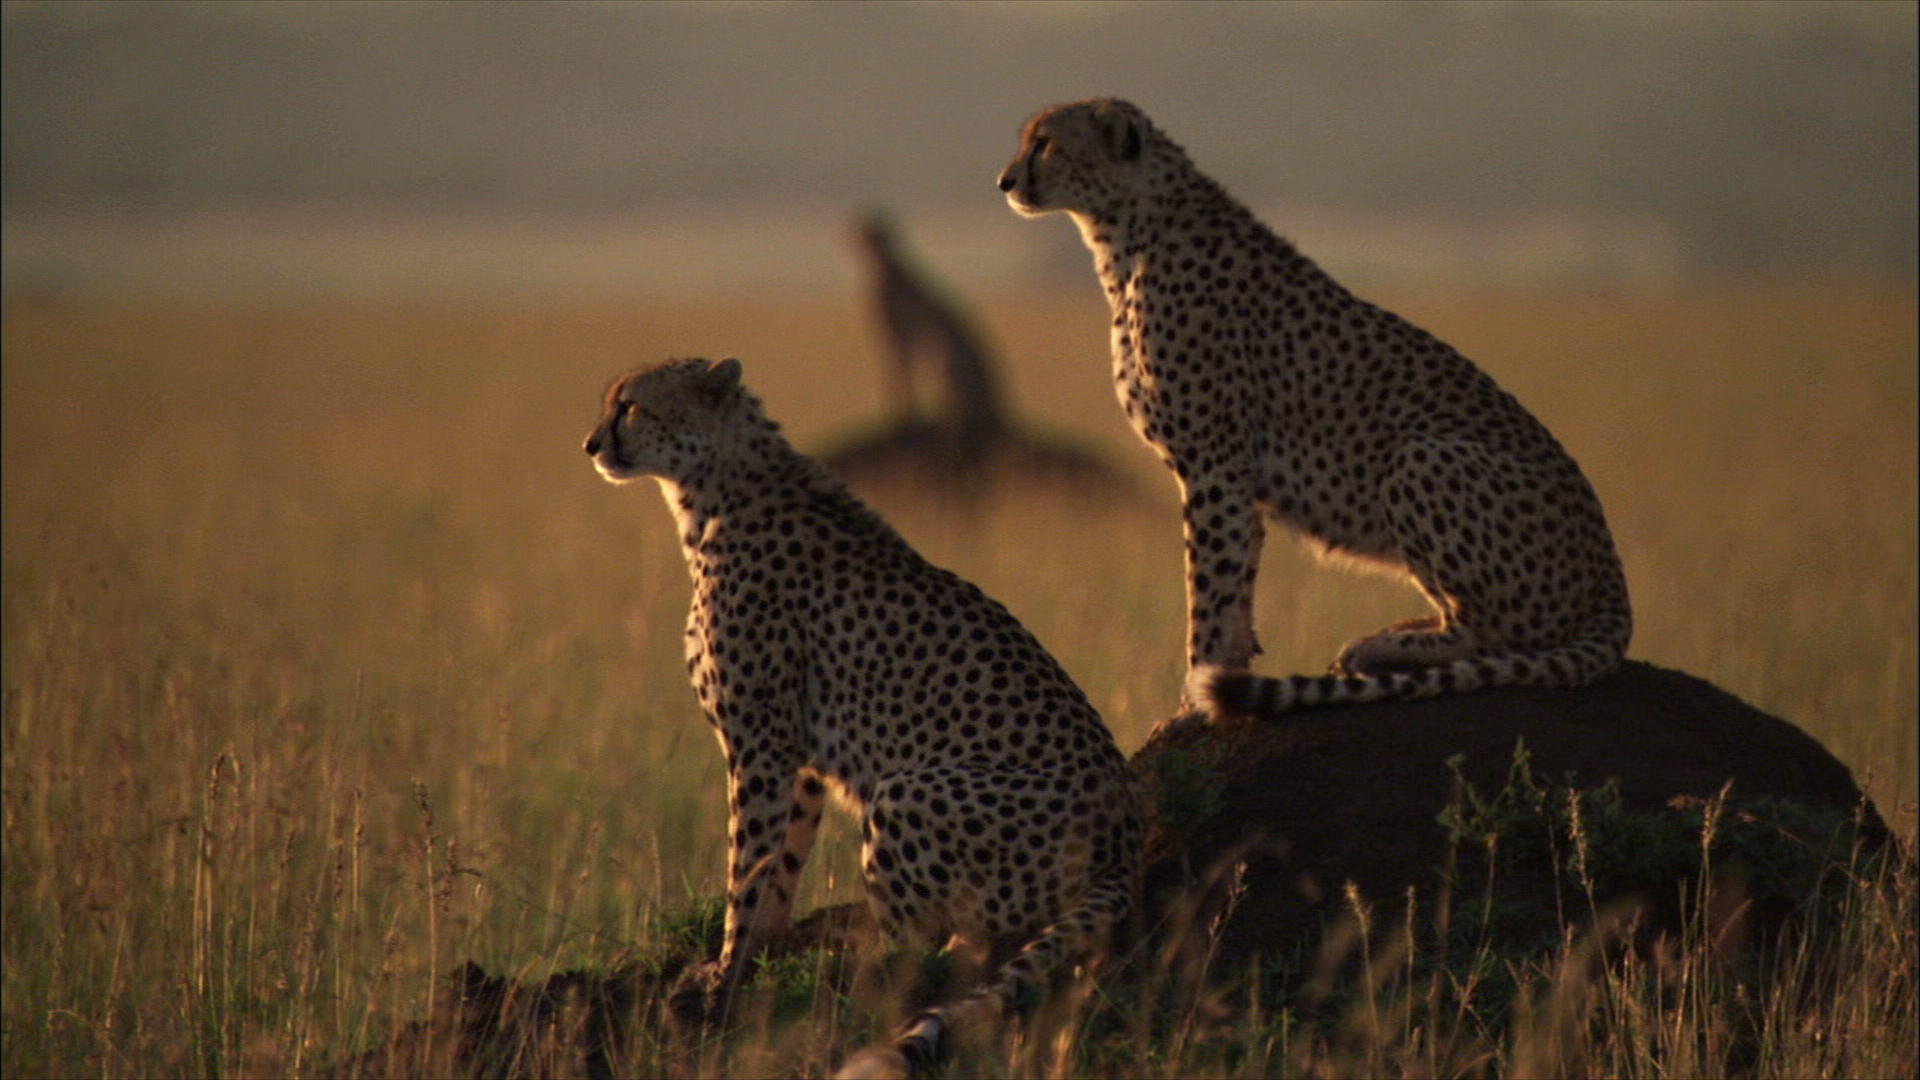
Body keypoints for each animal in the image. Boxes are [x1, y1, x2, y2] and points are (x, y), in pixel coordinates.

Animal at [568, 357, 1136, 1068]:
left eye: (633, 407)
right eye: (610, 404)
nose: (590, 445)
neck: (713, 491)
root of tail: (1125, 833)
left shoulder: (761, 744)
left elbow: (746, 864)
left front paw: (724, 973)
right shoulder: (799, 758)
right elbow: (779, 864)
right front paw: (757, 956)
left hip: (907, 790)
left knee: (946, 947)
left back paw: (877, 961)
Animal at [998, 98, 1628, 722]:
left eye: (1045, 143)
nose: (1005, 181)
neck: (1127, 233)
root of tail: (1612, 574)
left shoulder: (1212, 464)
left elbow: (1209, 591)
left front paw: (1194, 699)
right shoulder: (1237, 478)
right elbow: (1236, 585)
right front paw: (1225, 674)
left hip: (1422, 456)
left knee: (1496, 633)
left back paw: (1385, 645)